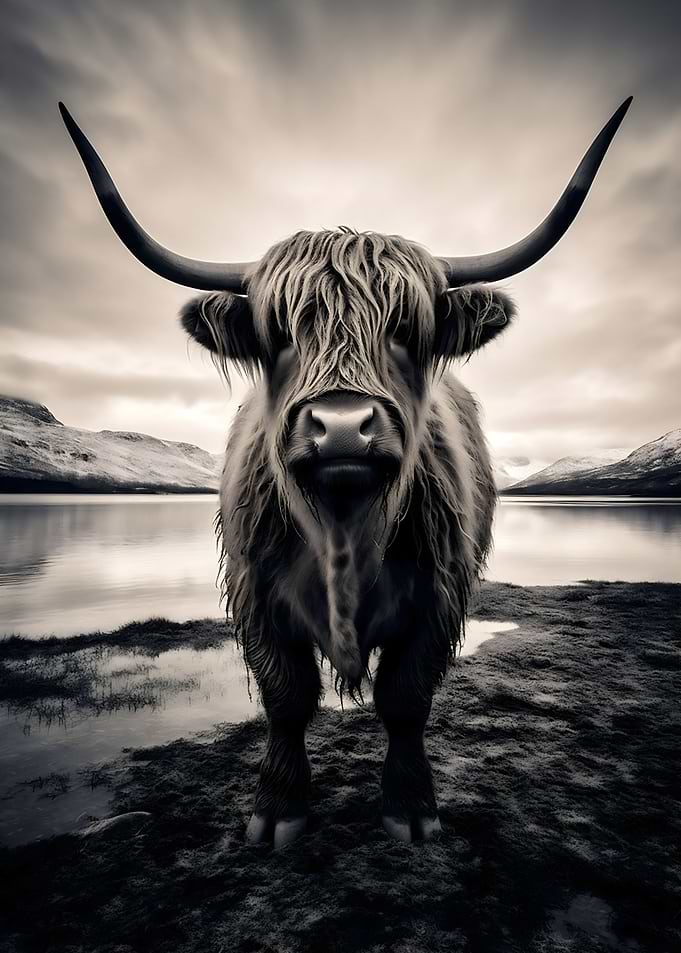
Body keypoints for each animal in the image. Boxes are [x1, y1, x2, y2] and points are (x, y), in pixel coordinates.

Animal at [59, 98, 631, 847]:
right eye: (278, 332)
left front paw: (410, 806)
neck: (342, 532)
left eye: (407, 328)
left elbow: (404, 698)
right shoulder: (257, 596)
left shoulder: (438, 599)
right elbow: (287, 697)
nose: (339, 426)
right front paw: (278, 809)